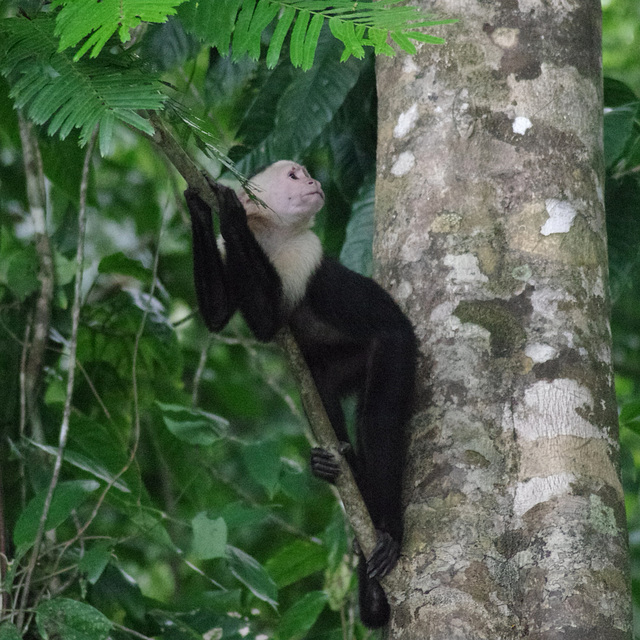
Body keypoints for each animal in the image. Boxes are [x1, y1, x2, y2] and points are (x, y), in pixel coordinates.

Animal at [182, 162, 418, 628]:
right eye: (294, 176)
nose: (314, 183)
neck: (272, 237)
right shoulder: (233, 253)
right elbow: (220, 315)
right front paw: (202, 207)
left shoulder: (303, 253)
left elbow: (269, 319)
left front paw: (231, 211)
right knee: (322, 391)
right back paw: (339, 465)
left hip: (398, 348)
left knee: (378, 424)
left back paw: (386, 531)